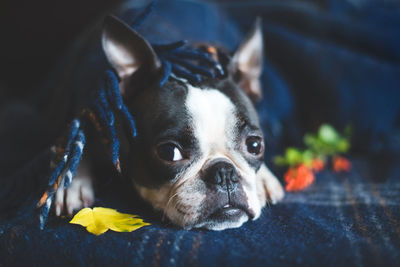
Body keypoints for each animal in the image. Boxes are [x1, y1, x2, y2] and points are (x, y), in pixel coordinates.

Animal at [54, 15, 284, 231]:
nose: (224, 173)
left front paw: (264, 179)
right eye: (169, 152)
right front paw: (70, 184)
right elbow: (75, 142)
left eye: (254, 145)